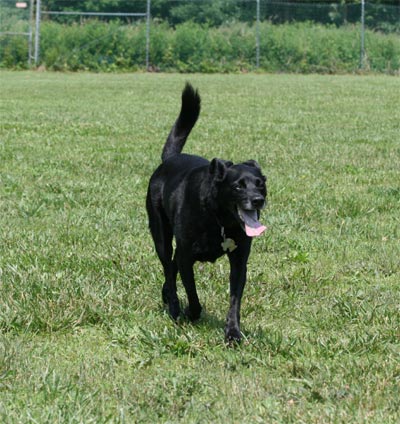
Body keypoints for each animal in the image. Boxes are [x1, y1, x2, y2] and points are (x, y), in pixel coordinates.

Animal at [145, 83, 268, 344]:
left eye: (260, 183)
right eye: (238, 186)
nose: (258, 200)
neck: (220, 219)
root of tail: (170, 159)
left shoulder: (239, 260)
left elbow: (234, 300)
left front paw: (233, 333)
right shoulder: (186, 256)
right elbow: (192, 292)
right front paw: (190, 313)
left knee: (171, 269)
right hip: (161, 236)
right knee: (168, 265)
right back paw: (173, 307)